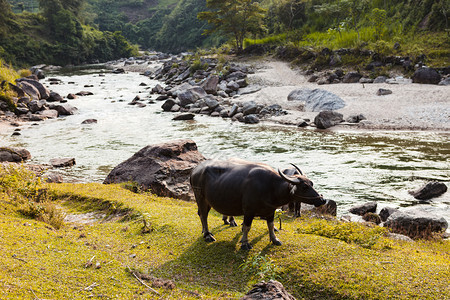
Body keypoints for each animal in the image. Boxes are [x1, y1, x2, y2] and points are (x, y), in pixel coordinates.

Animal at [188, 158, 326, 250]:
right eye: (304, 187)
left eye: (311, 183)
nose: (322, 200)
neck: (271, 187)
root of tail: (194, 171)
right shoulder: (249, 211)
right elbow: (247, 227)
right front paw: (245, 243)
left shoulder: (270, 211)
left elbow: (271, 225)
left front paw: (275, 239)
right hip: (200, 197)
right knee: (203, 215)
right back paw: (207, 235)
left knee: (201, 214)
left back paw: (207, 230)